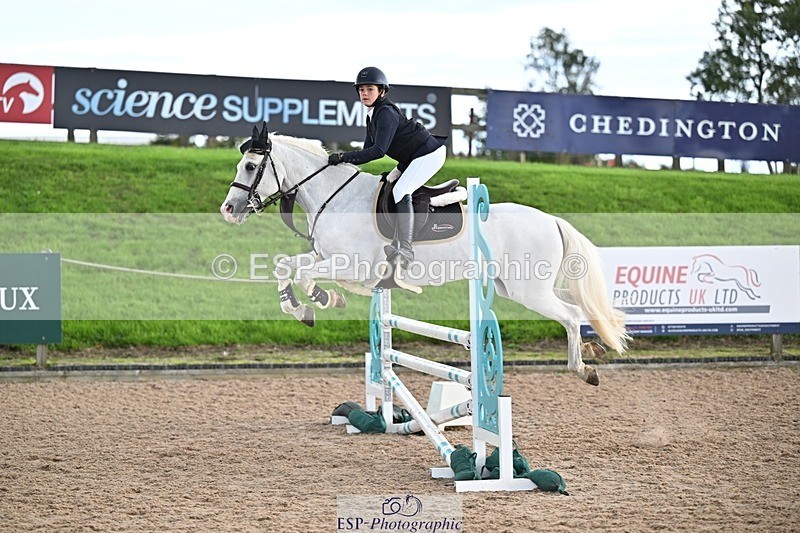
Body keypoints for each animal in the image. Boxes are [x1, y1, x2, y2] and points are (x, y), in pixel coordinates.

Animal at [219, 124, 628, 386]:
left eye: (251, 166)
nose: (229, 209)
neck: (334, 196)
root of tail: (551, 220)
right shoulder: (332, 260)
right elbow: (286, 267)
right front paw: (302, 307)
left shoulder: (351, 264)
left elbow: (303, 274)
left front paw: (320, 299)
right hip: (512, 286)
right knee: (573, 312)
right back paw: (591, 350)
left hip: (529, 290)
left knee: (572, 314)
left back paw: (583, 368)